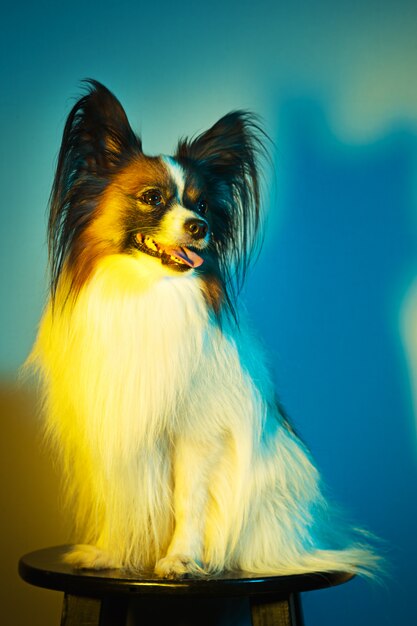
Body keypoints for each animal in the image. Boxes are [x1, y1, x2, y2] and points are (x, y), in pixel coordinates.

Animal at [26, 80, 376, 576]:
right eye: (152, 198)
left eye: (203, 204)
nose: (200, 226)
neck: (148, 293)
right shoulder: (117, 428)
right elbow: (122, 500)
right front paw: (110, 553)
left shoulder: (197, 435)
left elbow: (188, 502)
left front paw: (180, 558)